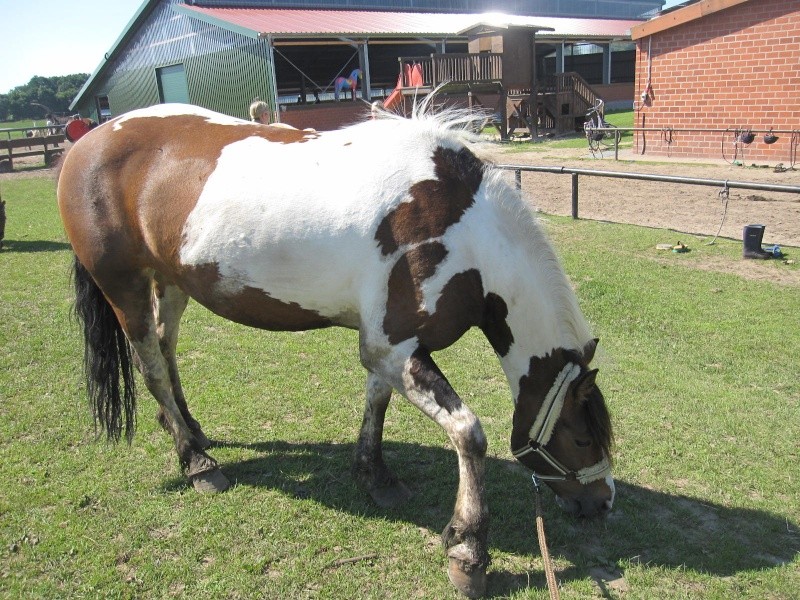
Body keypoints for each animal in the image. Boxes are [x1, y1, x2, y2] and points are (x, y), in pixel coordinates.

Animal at [59, 102, 616, 596]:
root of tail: (87, 141)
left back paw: (189, 428)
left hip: (171, 280)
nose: (604, 503)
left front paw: (375, 476)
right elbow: (468, 434)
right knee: (150, 363)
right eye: (582, 439)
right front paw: (469, 551)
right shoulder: (391, 347)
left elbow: (377, 401)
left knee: (167, 347)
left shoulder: (390, 345)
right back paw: (196, 462)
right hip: (124, 286)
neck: (462, 227)